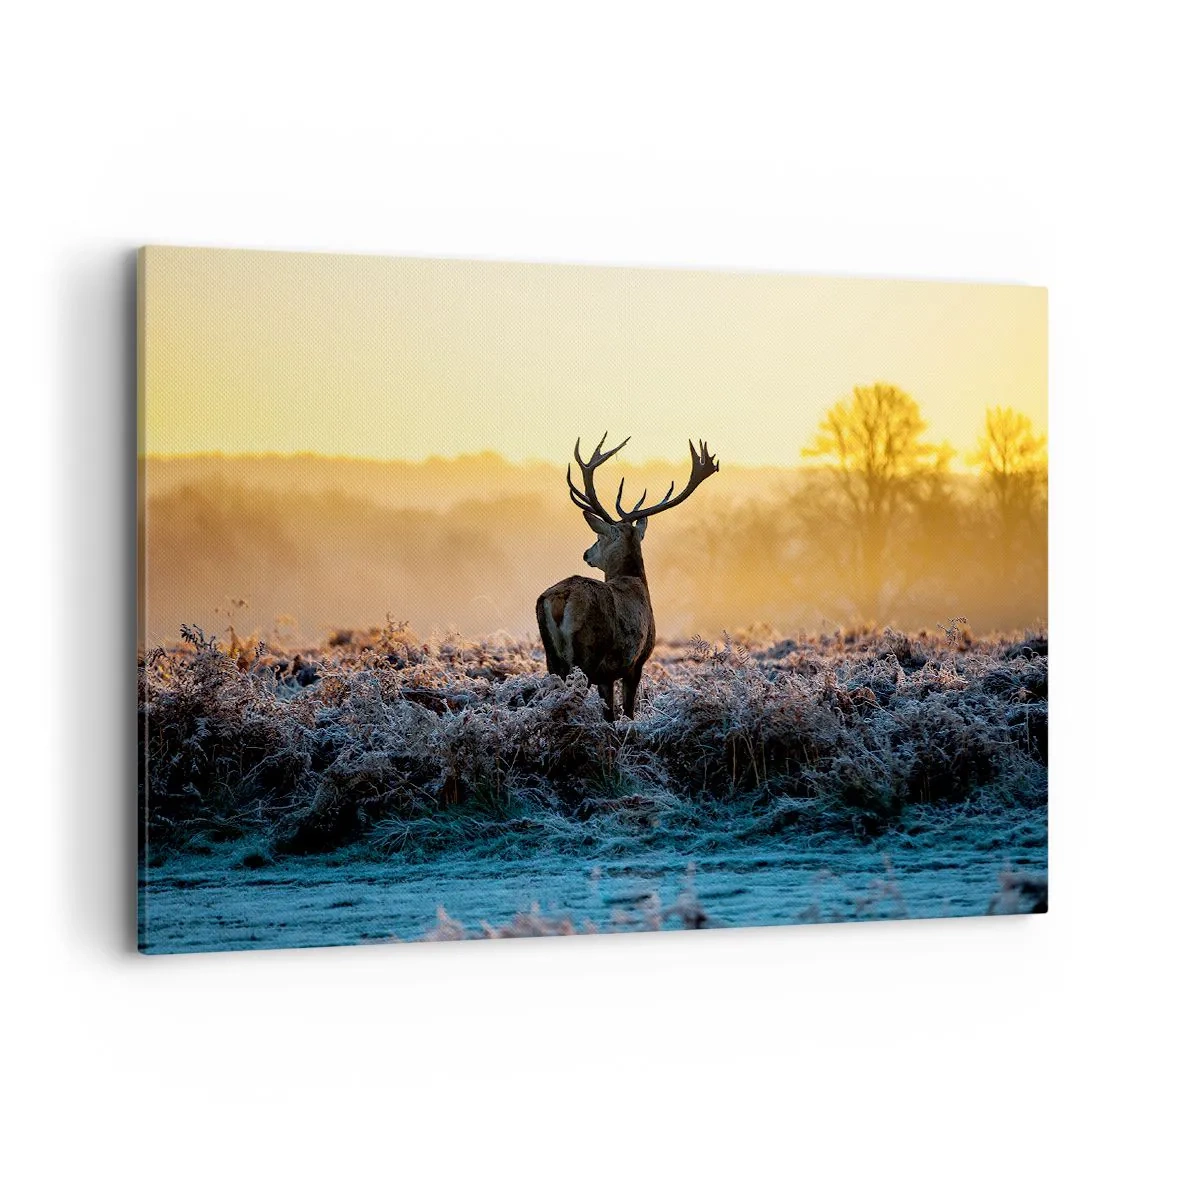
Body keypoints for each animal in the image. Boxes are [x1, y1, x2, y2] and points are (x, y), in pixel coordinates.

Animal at [537, 434, 719, 721]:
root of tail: (560, 599)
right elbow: (627, 711)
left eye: (599, 537)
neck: (634, 580)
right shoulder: (635, 662)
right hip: (587, 653)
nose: (586, 553)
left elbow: (611, 713)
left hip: (552, 657)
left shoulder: (609, 674)